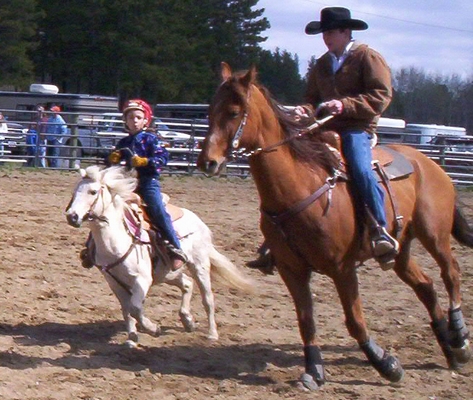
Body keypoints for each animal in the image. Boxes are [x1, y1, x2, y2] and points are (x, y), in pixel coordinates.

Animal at [66, 166, 254, 346]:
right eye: (75, 191)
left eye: (93, 192)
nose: (72, 216)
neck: (115, 241)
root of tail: (198, 221)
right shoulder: (114, 282)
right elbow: (127, 310)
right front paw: (132, 338)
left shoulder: (142, 279)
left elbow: (135, 308)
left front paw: (152, 328)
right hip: (167, 272)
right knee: (187, 283)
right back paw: (187, 321)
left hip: (199, 265)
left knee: (207, 299)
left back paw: (212, 334)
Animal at [197, 63, 470, 390]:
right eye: (210, 110)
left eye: (234, 111)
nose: (207, 162)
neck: (300, 187)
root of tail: (429, 163)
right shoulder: (292, 270)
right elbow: (306, 320)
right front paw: (314, 370)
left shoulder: (343, 268)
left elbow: (354, 321)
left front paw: (387, 365)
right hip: (400, 249)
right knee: (426, 286)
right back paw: (451, 350)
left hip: (435, 234)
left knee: (451, 272)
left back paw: (460, 337)